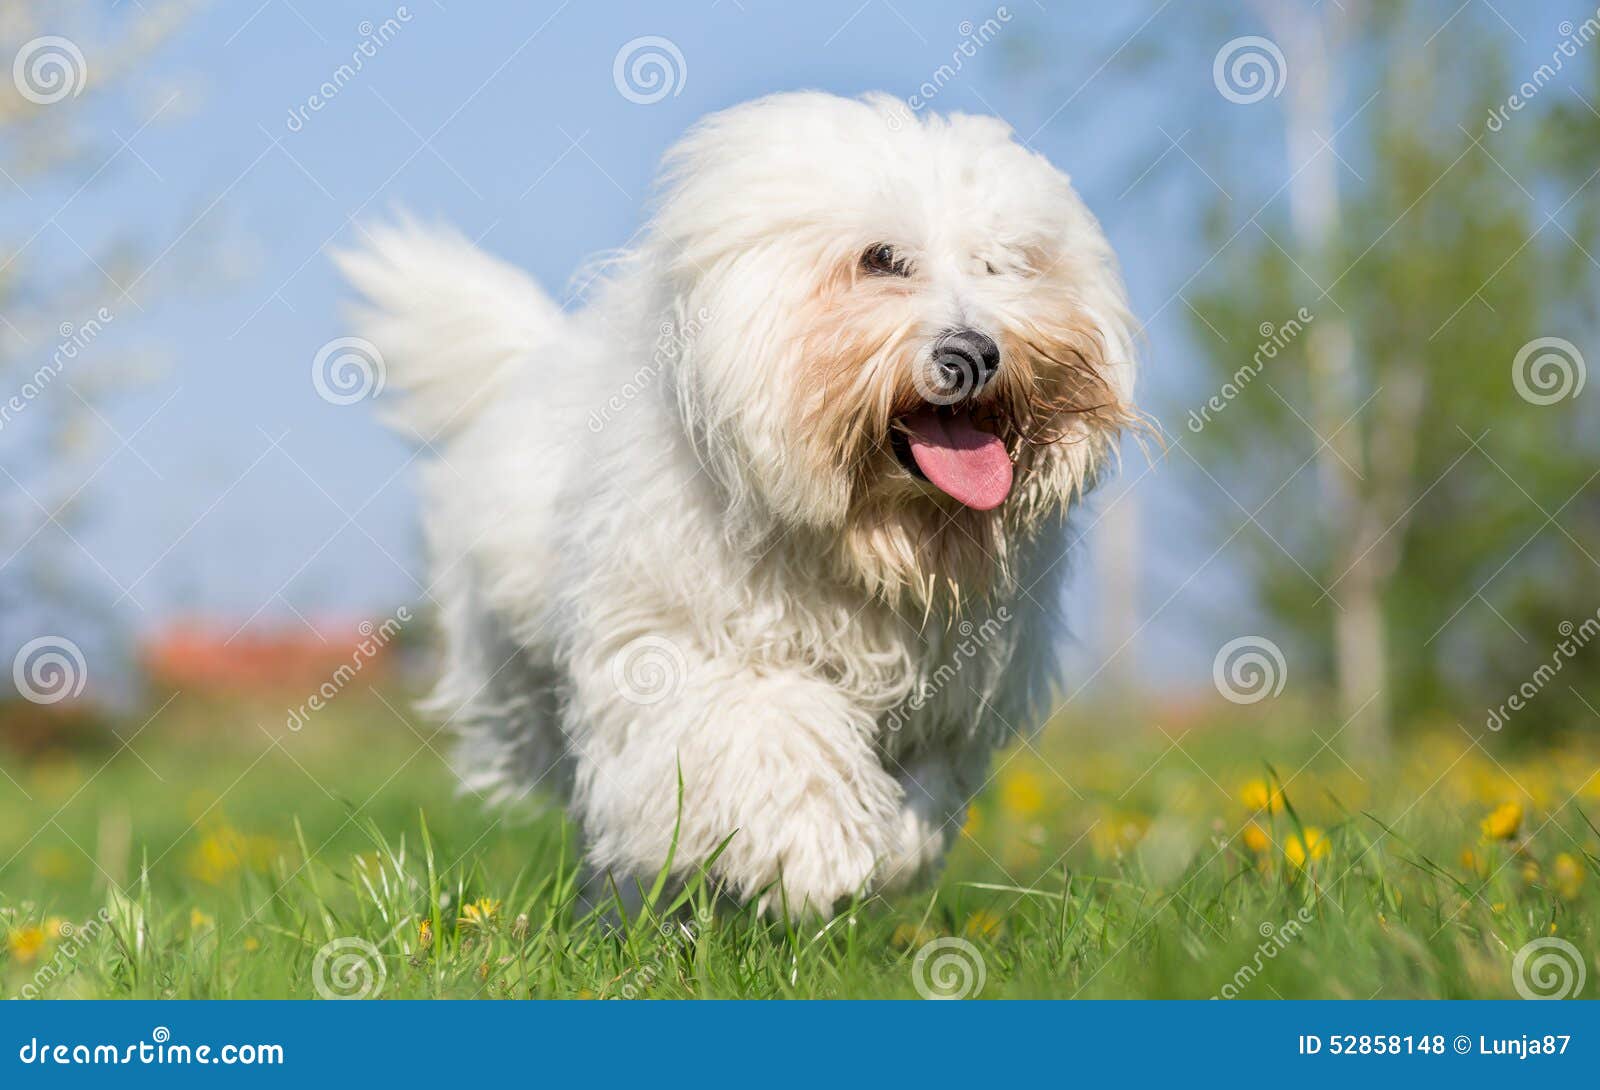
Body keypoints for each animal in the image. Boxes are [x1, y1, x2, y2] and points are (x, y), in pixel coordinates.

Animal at [337, 91, 1139, 909]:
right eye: (880, 258)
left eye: (1003, 263)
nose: (975, 350)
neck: (869, 534)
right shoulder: (680, 648)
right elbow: (765, 729)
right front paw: (817, 851)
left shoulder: (953, 700)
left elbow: (924, 790)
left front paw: (892, 852)